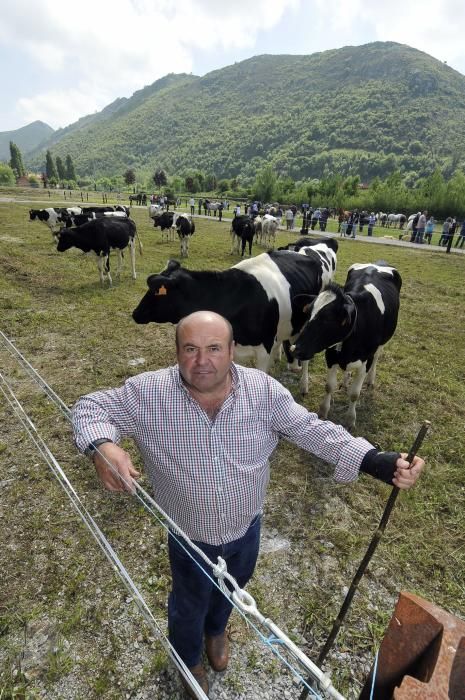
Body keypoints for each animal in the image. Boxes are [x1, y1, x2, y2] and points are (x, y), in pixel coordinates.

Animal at [130, 247, 338, 392]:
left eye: (156, 292)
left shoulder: (263, 348)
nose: (135, 313)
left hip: (306, 322)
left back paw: (303, 384)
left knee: (305, 356)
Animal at [292, 262, 400, 426]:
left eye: (327, 319)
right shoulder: (331, 355)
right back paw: (345, 381)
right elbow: (329, 386)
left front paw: (350, 419)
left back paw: (370, 380)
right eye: (308, 313)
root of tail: (377, 263)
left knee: (377, 357)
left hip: (382, 343)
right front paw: (323, 411)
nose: (295, 349)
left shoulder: (366, 360)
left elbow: (355, 394)